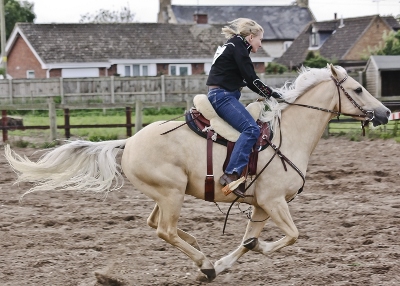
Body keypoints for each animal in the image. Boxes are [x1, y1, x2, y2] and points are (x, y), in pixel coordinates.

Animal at [3, 63, 390, 280]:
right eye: (357, 88)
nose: (386, 113)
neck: (287, 135)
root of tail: (129, 141)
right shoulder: (274, 202)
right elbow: (290, 236)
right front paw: (228, 261)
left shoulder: (261, 206)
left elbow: (248, 241)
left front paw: (226, 264)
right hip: (171, 194)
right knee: (164, 230)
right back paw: (202, 260)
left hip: (165, 194)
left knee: (156, 225)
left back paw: (200, 250)